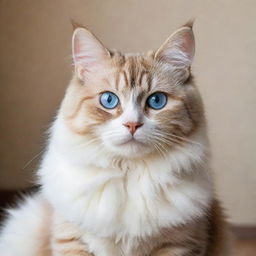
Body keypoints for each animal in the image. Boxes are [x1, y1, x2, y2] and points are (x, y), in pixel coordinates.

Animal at [0, 22, 230, 256]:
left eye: (157, 101)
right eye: (109, 100)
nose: (132, 125)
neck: (129, 174)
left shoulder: (179, 245)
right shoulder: (72, 241)